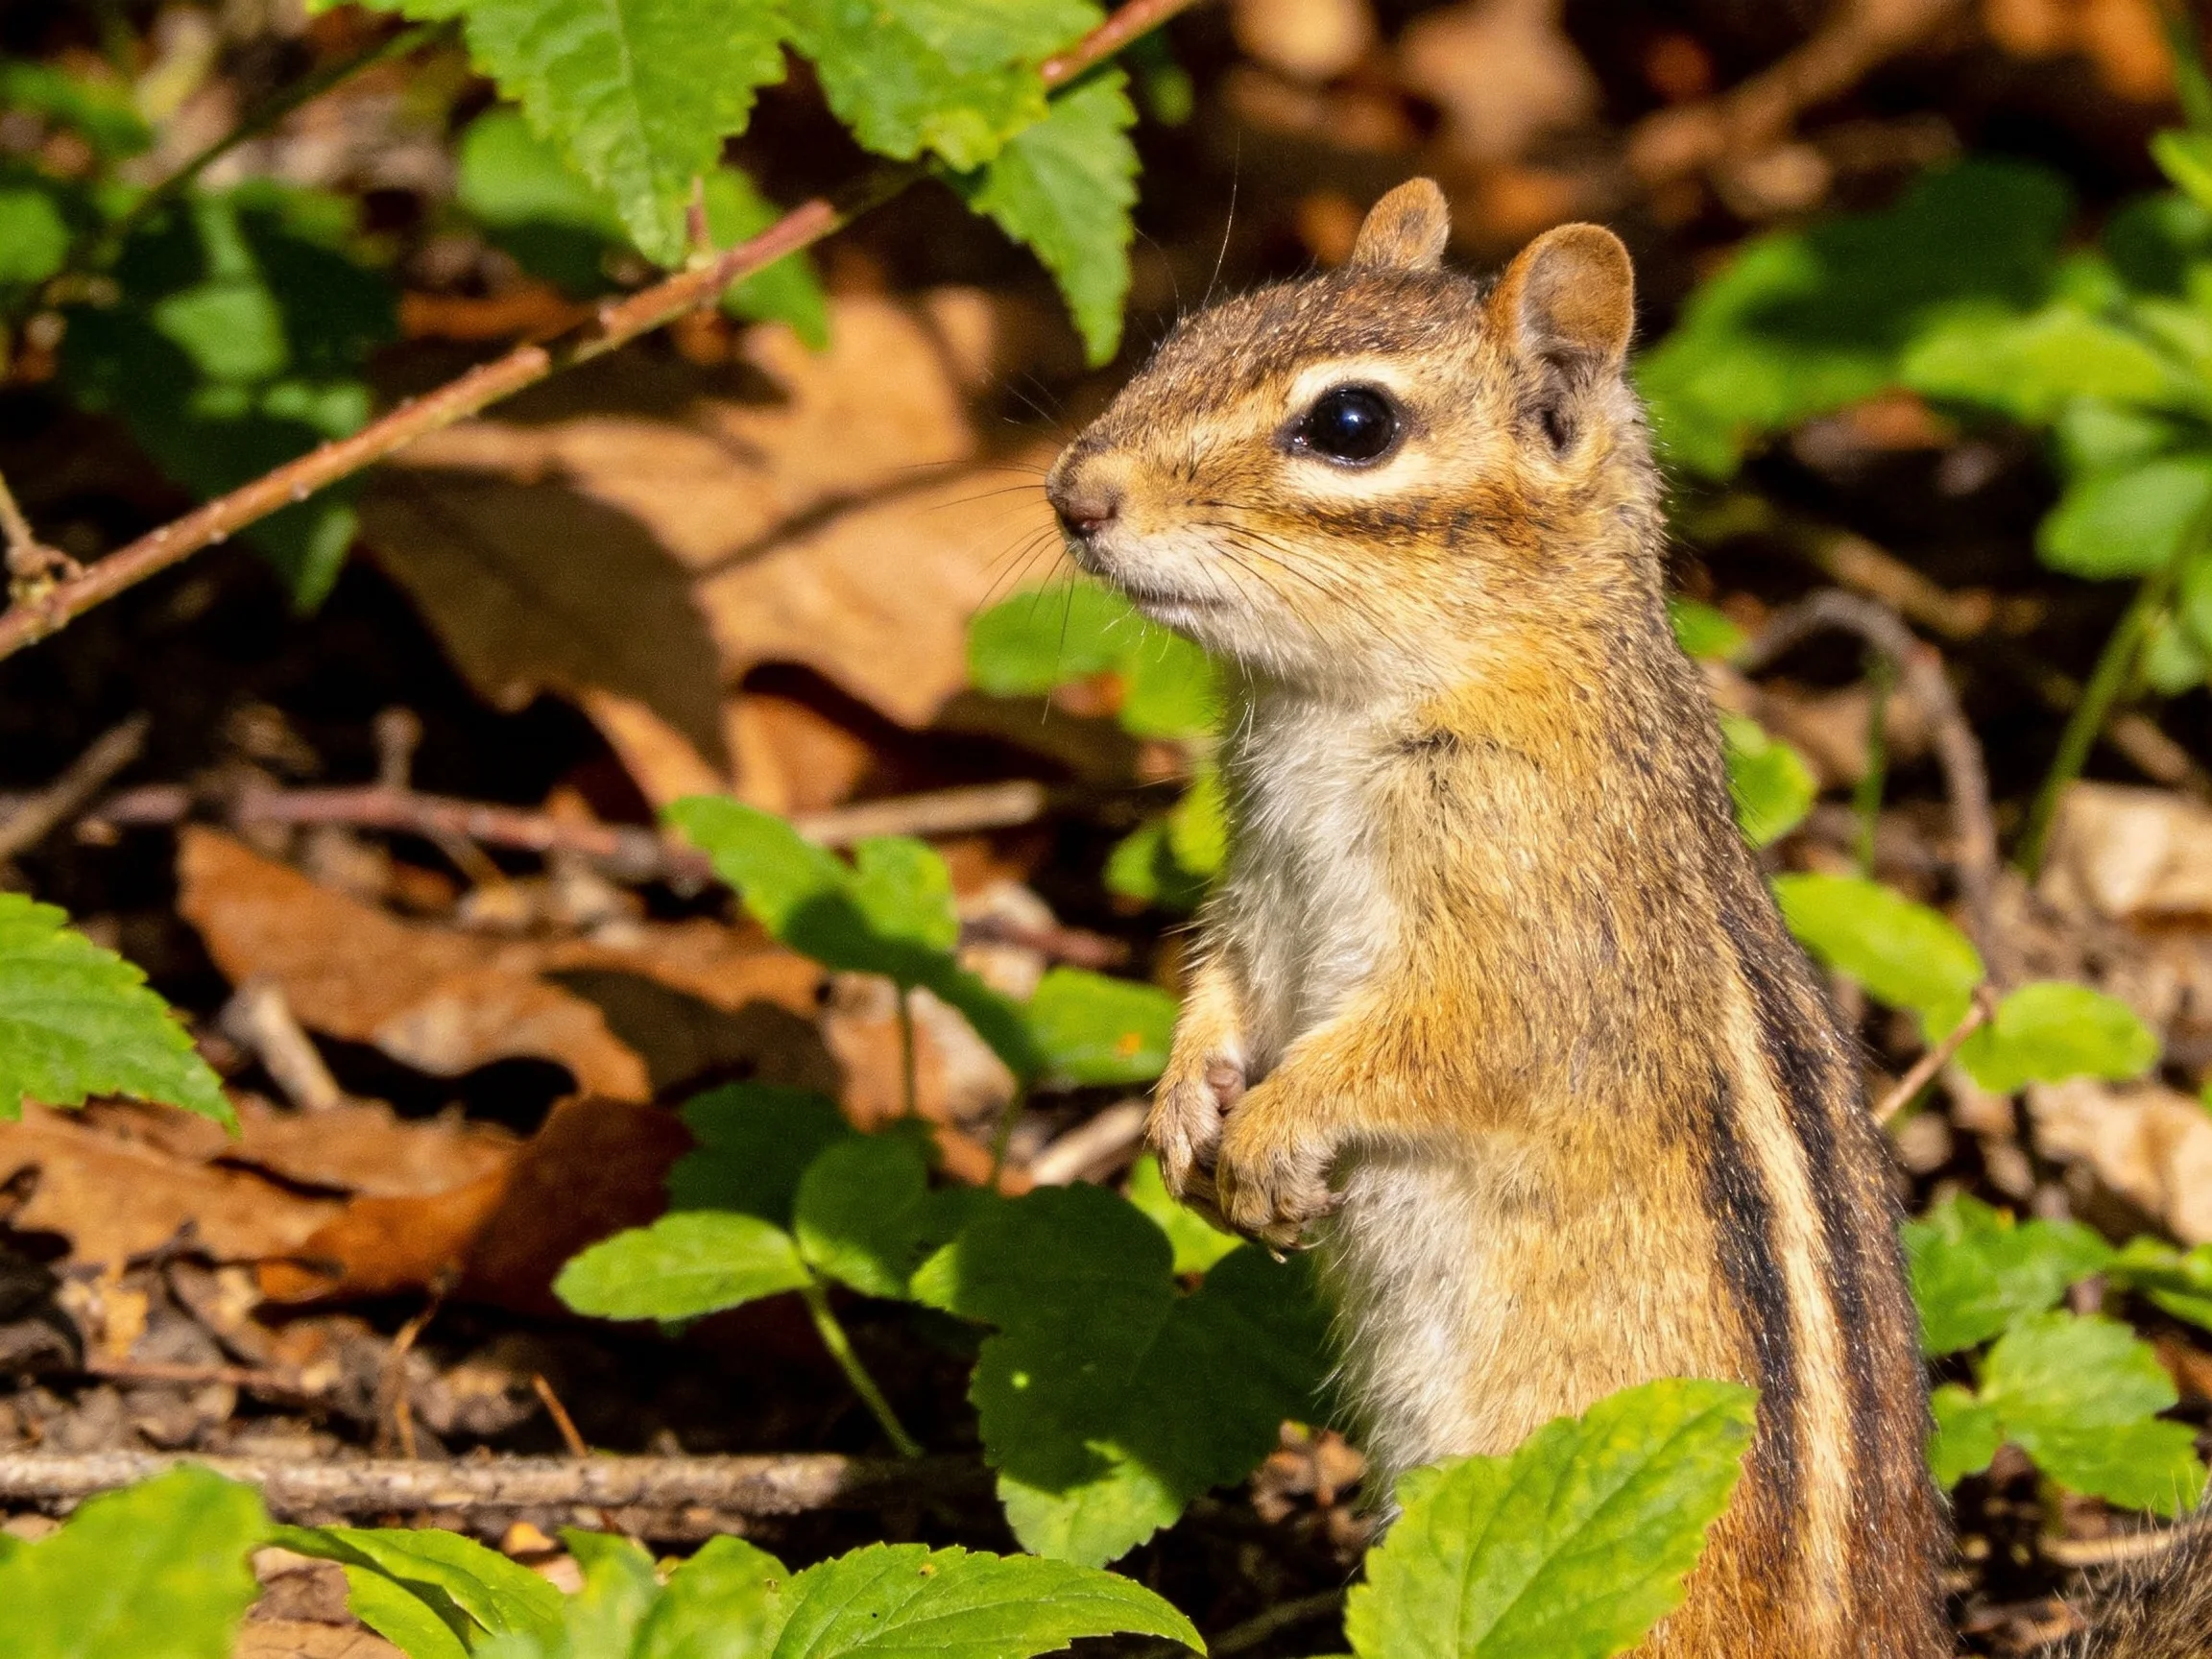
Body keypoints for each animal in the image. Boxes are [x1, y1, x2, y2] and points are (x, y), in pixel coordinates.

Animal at [1044, 178, 2207, 1659]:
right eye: (1190, 331)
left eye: (1352, 426)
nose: (1074, 493)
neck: (1334, 710)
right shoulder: (1256, 891)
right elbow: (1222, 993)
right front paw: (1185, 1112)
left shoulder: (1533, 941)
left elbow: (1445, 1049)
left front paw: (1266, 1134)